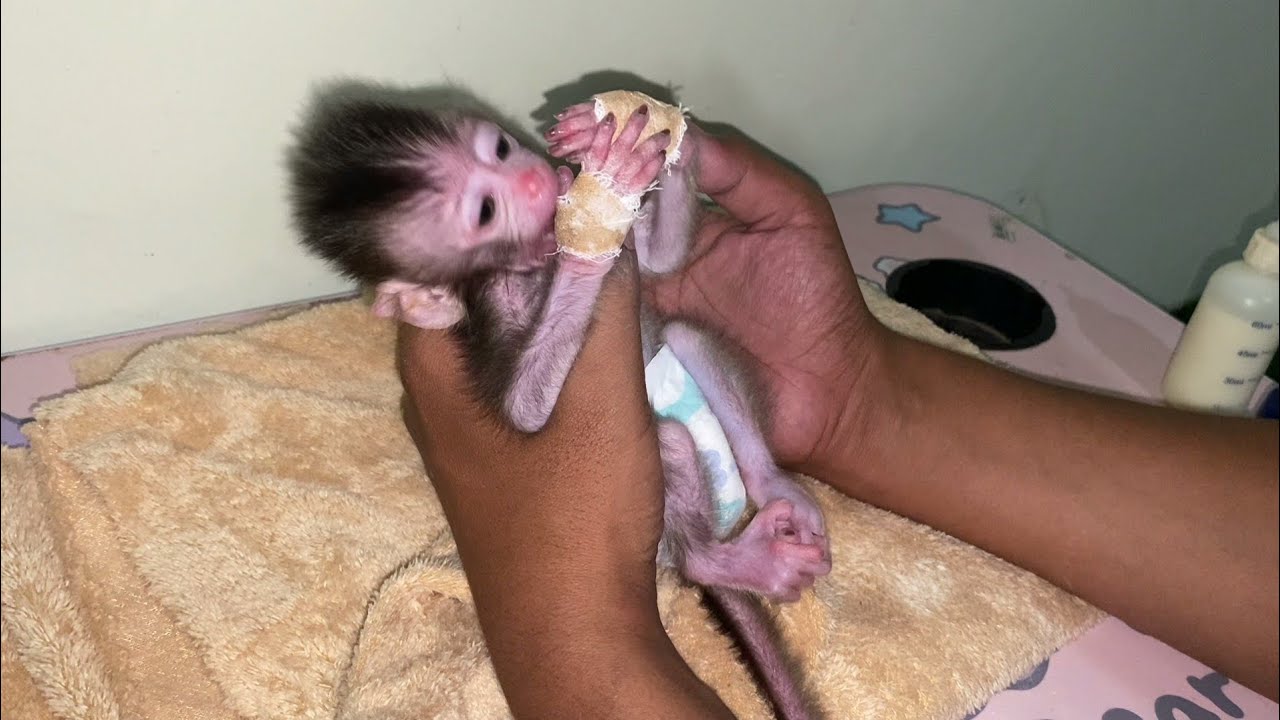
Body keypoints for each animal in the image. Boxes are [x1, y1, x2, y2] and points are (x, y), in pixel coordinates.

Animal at [285, 90, 832, 720]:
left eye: (499, 149)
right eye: (485, 212)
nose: (531, 177)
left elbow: (661, 260)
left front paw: (659, 141)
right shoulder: (490, 311)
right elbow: (524, 409)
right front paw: (590, 237)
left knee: (688, 337)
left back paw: (775, 486)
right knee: (676, 458)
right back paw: (731, 562)